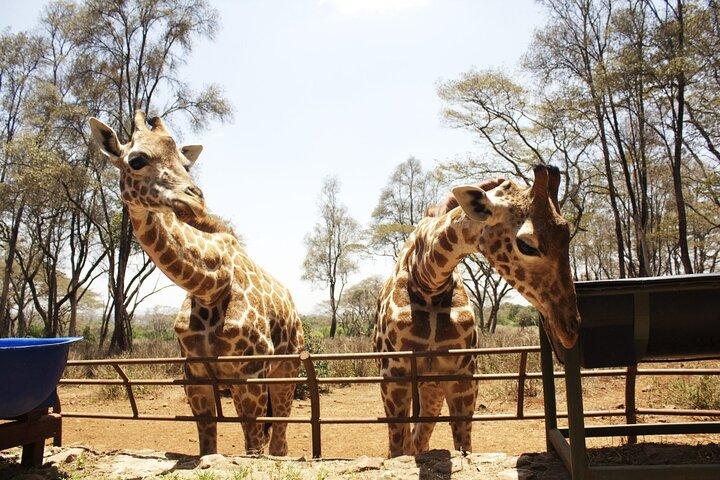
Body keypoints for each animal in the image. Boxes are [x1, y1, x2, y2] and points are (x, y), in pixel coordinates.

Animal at [88, 111, 304, 456]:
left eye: (185, 164)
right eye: (136, 160)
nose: (196, 199)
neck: (209, 285)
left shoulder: (251, 374)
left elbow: (253, 447)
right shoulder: (196, 377)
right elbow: (207, 447)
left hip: (288, 367)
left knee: (280, 440)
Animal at [373, 165, 580, 457]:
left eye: (567, 236)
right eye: (527, 245)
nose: (570, 328)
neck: (427, 280)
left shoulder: (463, 376)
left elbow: (464, 446)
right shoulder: (394, 376)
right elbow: (396, 449)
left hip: (432, 387)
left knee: (420, 438)